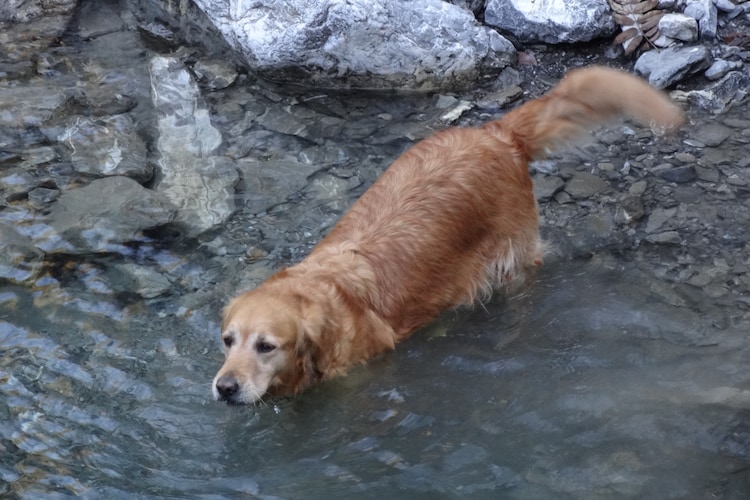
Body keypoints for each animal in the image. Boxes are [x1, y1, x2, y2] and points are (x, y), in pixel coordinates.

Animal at [213, 66, 688, 404]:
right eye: (227, 341)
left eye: (266, 346)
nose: (225, 387)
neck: (327, 299)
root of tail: (496, 135)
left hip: (511, 259)